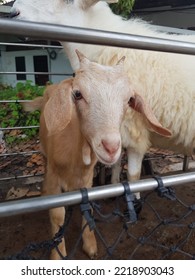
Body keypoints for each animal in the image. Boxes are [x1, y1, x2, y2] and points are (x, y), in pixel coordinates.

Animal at [11, 0, 195, 195]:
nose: (13, 12)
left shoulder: (134, 130)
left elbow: (133, 176)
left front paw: (134, 196)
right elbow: (115, 165)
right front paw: (114, 186)